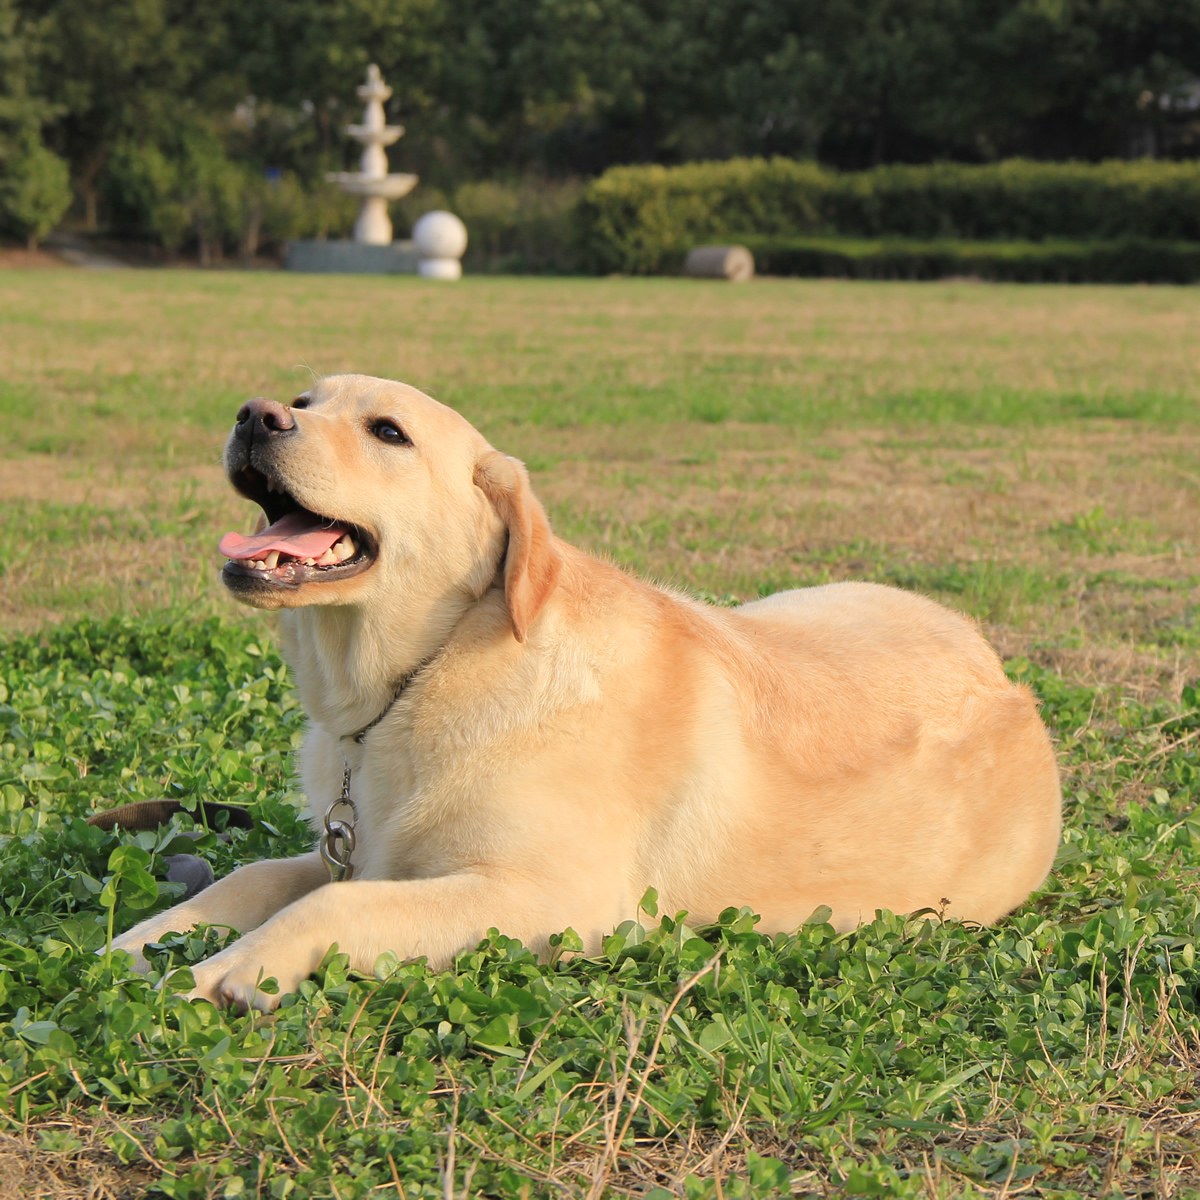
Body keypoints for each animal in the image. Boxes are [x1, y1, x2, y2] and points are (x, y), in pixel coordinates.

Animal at [112, 369, 1060, 1008]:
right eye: (304, 400)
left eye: (388, 433)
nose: (255, 414)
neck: (425, 673)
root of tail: (1005, 678)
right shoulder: (352, 847)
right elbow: (250, 878)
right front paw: (141, 939)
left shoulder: (548, 900)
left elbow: (330, 908)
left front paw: (227, 969)